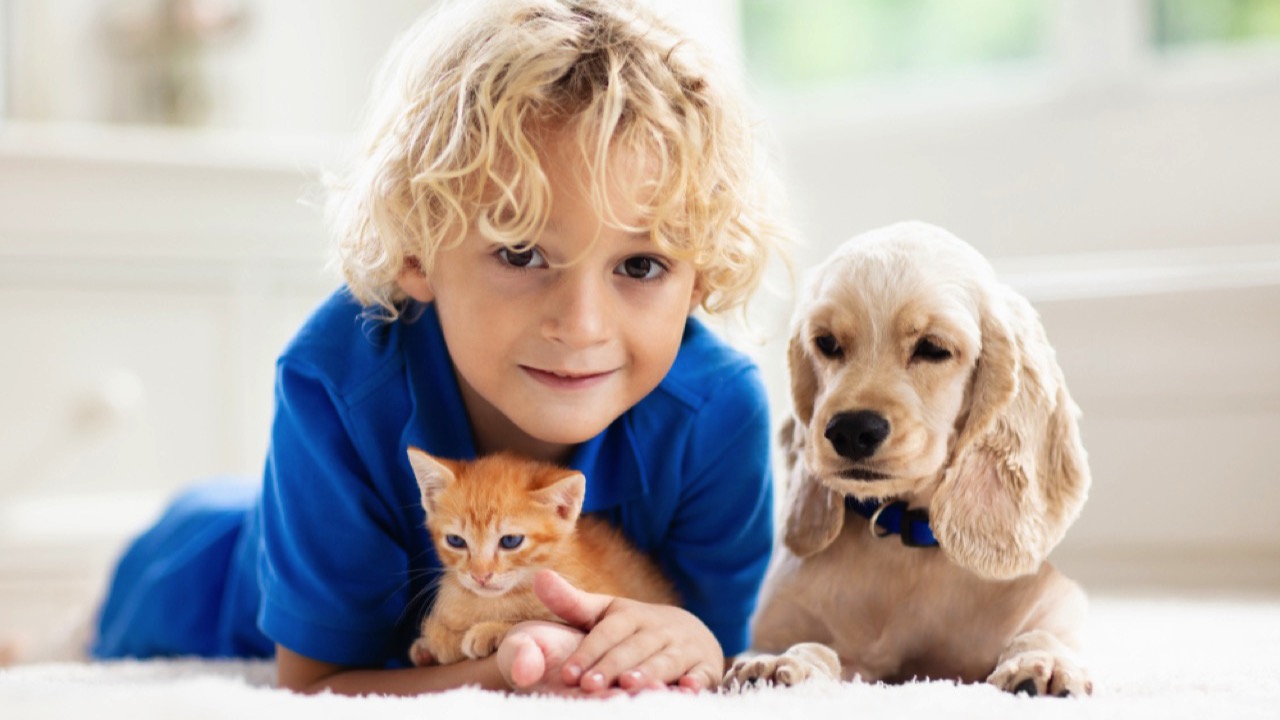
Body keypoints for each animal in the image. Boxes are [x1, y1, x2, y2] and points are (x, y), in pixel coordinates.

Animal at [727, 220, 1095, 696]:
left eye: (933, 348)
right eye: (826, 343)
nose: (851, 431)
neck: (905, 541)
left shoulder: (1057, 607)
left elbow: (1044, 632)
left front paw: (1046, 662)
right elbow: (809, 645)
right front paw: (779, 662)